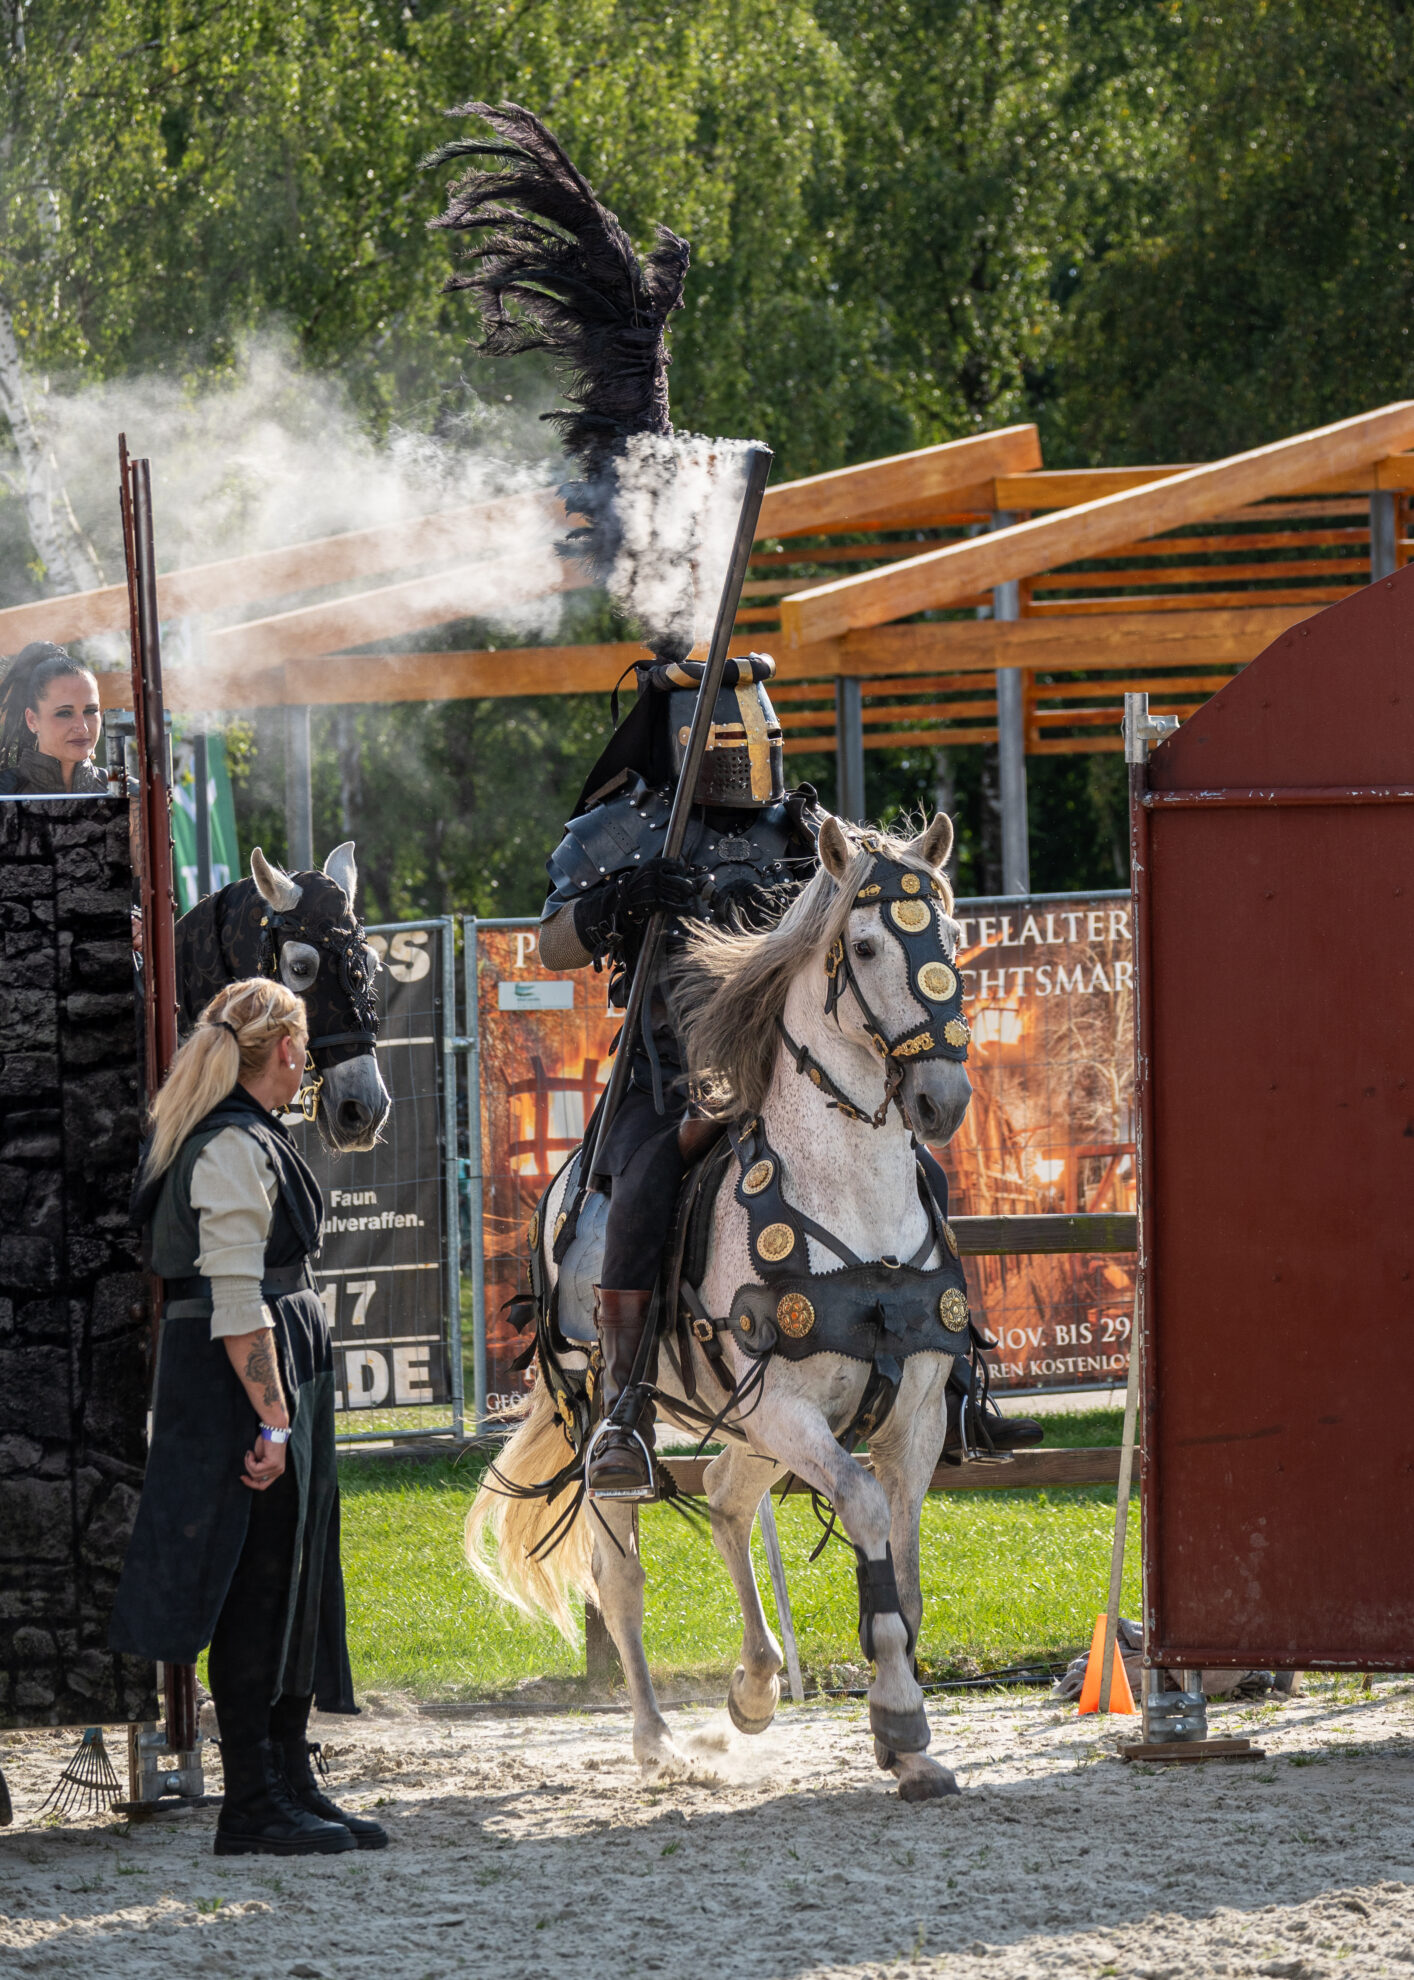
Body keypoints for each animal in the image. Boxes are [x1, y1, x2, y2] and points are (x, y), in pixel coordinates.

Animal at [468, 811, 976, 1801]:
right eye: (864, 945)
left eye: (949, 936)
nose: (942, 1098)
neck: (850, 1202)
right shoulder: (788, 1410)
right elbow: (865, 1516)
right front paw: (898, 1716)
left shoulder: (913, 1418)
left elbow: (906, 1570)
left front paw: (904, 1741)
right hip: (610, 1418)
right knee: (620, 1574)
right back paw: (656, 1740)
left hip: (750, 1432)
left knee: (731, 1503)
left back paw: (755, 1685)